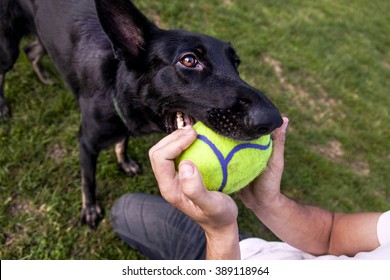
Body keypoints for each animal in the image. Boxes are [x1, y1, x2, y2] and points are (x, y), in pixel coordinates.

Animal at [0, 0, 282, 228]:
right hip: (7, 49)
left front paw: (123, 160)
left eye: (236, 64)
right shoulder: (86, 143)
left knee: (32, 51)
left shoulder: (124, 127)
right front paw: (89, 209)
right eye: (189, 60)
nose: (273, 121)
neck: (115, 83)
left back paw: (43, 75)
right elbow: (88, 180)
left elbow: (122, 141)